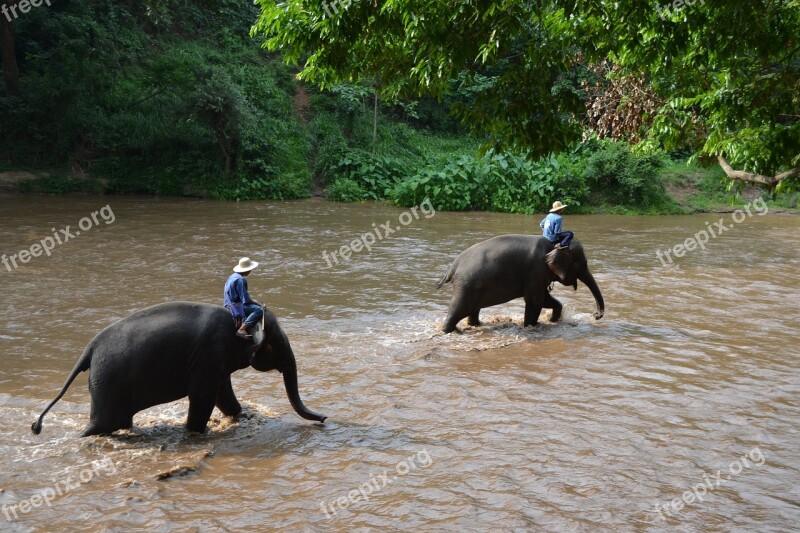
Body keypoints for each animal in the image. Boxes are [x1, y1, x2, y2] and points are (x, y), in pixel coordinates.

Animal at [31, 302, 324, 434]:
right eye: (278, 344)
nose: (323, 418)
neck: (238, 320)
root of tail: (89, 349)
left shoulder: (215, 362)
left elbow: (224, 395)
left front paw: (241, 416)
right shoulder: (208, 356)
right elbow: (204, 397)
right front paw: (196, 432)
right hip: (108, 381)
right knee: (103, 424)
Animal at [438, 234, 608, 332]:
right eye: (582, 263)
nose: (596, 315)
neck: (554, 244)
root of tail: (453, 266)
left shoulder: (539, 275)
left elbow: (545, 299)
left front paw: (552, 320)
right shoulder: (536, 269)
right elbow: (535, 301)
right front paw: (531, 327)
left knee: (473, 309)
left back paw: (475, 326)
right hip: (466, 286)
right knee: (459, 309)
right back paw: (449, 331)